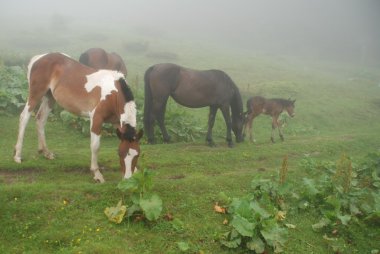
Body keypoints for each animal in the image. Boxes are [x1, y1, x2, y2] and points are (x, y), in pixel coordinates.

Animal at [14, 52, 142, 183]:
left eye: (137, 155)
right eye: (120, 154)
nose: (128, 179)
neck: (113, 92)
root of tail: (39, 57)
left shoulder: (117, 122)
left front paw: (136, 171)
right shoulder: (96, 119)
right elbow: (95, 146)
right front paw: (97, 174)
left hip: (50, 98)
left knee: (40, 119)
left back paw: (46, 152)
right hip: (36, 94)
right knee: (24, 118)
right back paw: (17, 155)